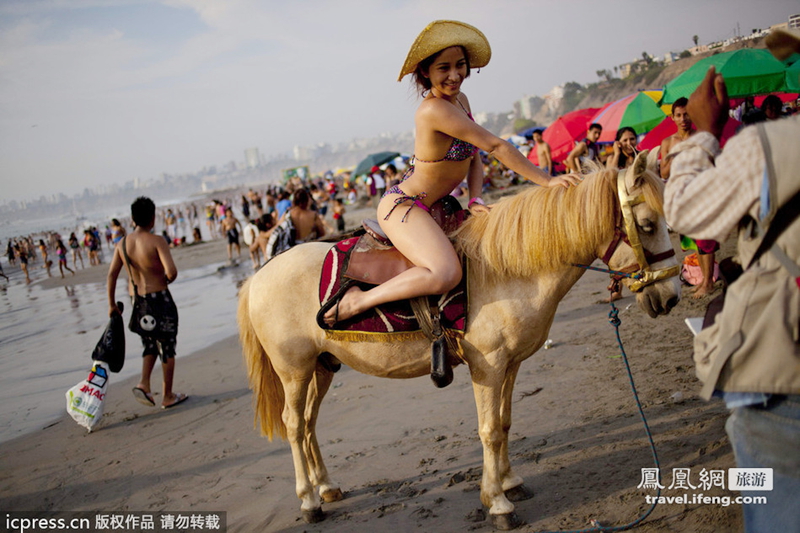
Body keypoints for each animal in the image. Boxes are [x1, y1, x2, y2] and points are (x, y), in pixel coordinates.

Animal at [239, 153, 680, 528]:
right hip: (293, 370)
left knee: (309, 422)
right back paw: (309, 500)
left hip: (321, 367)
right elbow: (488, 430)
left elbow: (504, 422)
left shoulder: (511, 364)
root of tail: (257, 277)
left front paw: (510, 481)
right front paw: (498, 503)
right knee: (293, 424)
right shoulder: (488, 366)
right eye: (645, 224)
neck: (506, 269)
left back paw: (326, 487)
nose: (671, 297)